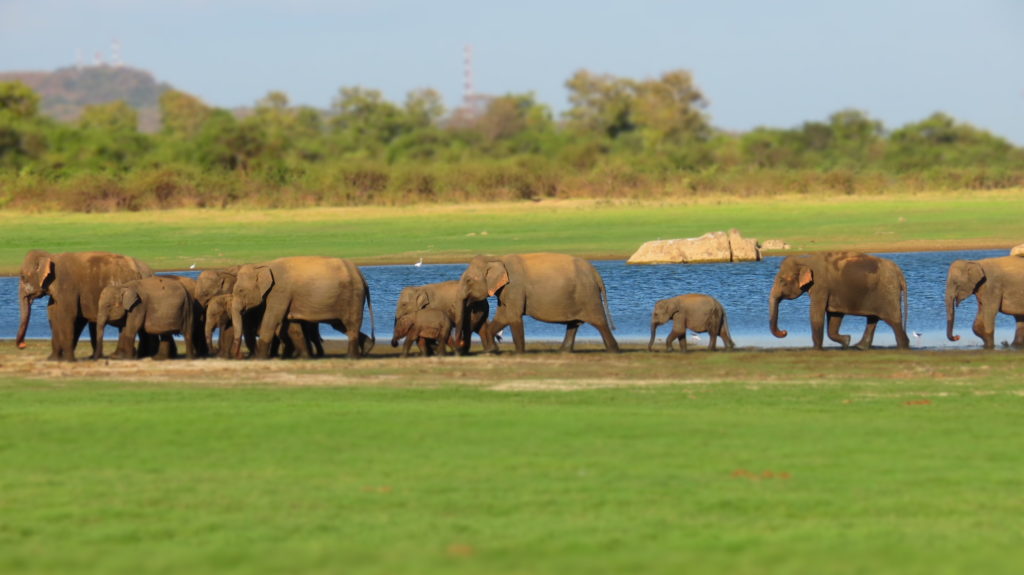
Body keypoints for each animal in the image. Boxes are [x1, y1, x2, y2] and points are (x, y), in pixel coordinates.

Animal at [16, 249, 152, 360]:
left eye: (23, 277)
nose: (22, 345)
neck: (51, 256)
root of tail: (145, 271)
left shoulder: (67, 286)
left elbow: (68, 315)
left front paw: (67, 359)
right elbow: (53, 316)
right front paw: (53, 359)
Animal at [231, 255, 376, 358]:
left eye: (240, 291)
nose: (239, 355)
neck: (263, 265)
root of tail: (362, 277)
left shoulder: (280, 292)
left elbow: (272, 319)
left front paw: (260, 358)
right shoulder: (287, 297)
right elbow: (293, 326)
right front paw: (305, 357)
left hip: (353, 296)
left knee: (350, 324)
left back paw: (351, 357)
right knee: (339, 325)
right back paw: (367, 347)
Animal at [454, 251, 614, 351]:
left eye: (468, 280)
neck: (497, 258)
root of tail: (596, 274)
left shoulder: (514, 287)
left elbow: (513, 316)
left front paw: (519, 352)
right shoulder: (506, 291)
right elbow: (503, 316)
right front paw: (492, 350)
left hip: (588, 296)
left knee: (600, 322)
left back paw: (614, 350)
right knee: (573, 324)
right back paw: (563, 351)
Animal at [770, 250, 909, 349]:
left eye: (782, 281)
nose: (785, 331)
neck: (805, 259)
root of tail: (899, 271)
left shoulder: (820, 286)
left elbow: (816, 313)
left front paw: (816, 348)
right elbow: (835, 315)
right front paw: (846, 341)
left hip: (888, 292)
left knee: (894, 321)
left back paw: (903, 346)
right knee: (873, 319)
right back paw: (859, 347)